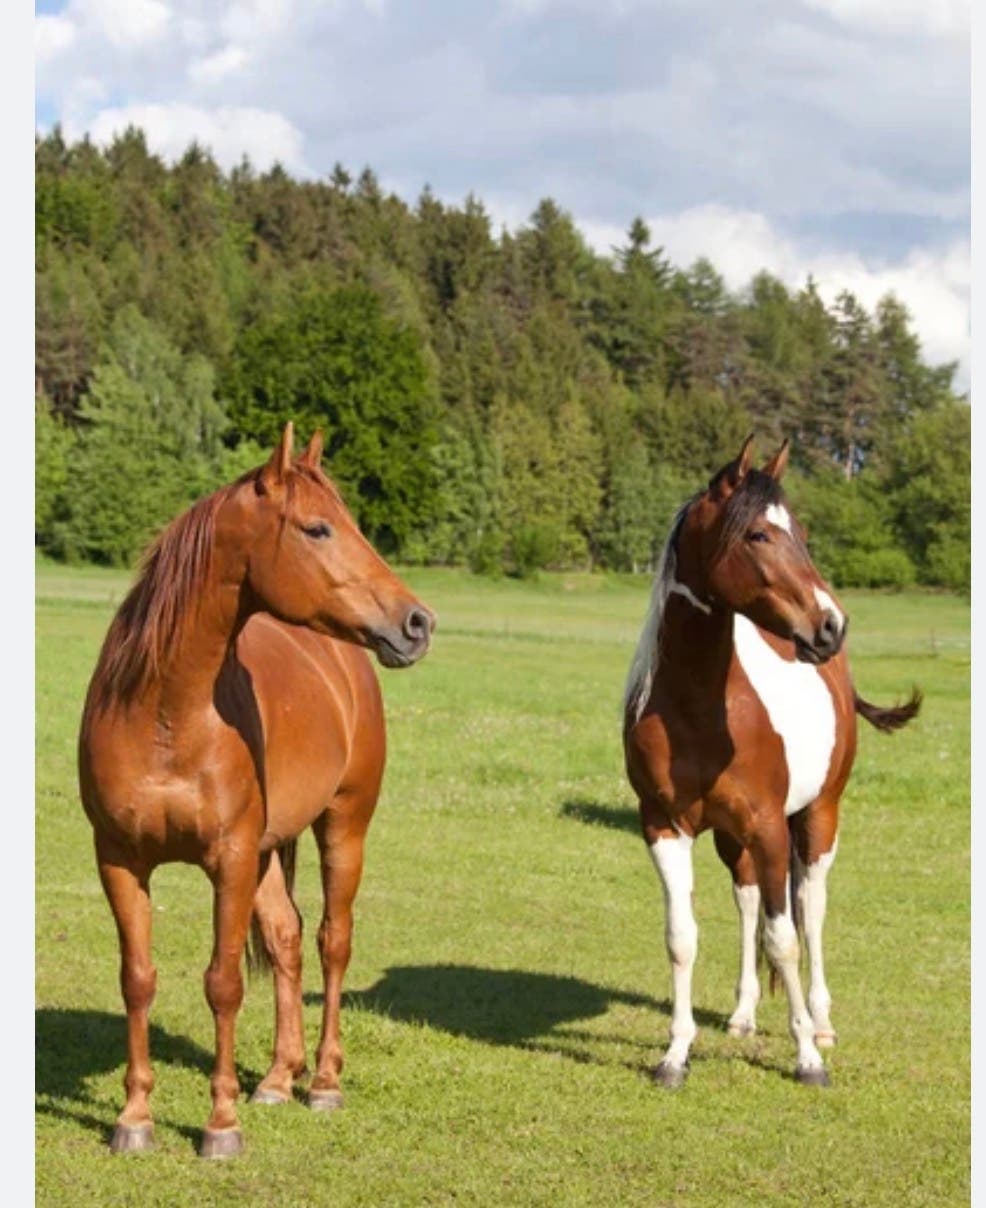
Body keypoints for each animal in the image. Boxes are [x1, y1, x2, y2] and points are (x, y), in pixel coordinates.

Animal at [78, 423, 435, 1157]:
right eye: (318, 528)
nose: (417, 623)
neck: (166, 714)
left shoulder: (230, 860)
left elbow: (222, 983)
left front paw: (220, 1124)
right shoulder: (120, 860)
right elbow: (138, 980)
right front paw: (134, 1118)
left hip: (343, 827)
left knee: (332, 941)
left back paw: (322, 1082)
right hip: (271, 850)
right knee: (287, 937)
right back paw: (275, 1078)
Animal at [623, 435, 920, 1088]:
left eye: (801, 532)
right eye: (758, 534)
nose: (831, 625)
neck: (699, 709)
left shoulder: (768, 827)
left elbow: (785, 939)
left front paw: (807, 1056)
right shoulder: (664, 827)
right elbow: (681, 936)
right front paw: (676, 1053)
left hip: (818, 816)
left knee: (810, 907)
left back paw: (822, 1021)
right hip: (732, 839)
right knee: (749, 900)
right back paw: (741, 1014)